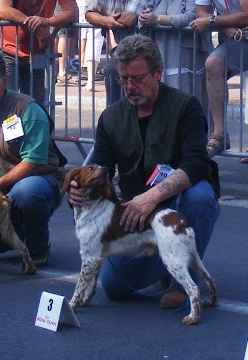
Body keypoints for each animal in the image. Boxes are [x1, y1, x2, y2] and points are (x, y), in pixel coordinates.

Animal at [64, 165, 217, 324]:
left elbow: (79, 287)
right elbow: (90, 285)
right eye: (91, 168)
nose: (106, 169)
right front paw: (84, 301)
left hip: (173, 260)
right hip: (192, 257)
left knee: (193, 288)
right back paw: (210, 302)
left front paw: (71, 306)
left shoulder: (90, 258)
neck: (91, 205)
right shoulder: (96, 257)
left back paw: (193, 318)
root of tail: (181, 222)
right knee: (209, 279)